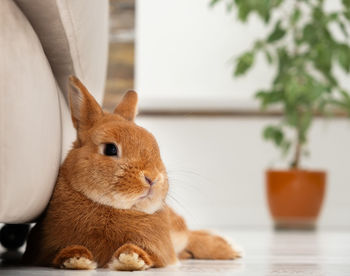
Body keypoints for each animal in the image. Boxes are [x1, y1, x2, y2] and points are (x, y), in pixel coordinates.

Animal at [21, 76, 241, 270]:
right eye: (110, 149)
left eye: (155, 146)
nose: (153, 178)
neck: (111, 207)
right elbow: (59, 255)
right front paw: (75, 258)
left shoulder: (161, 249)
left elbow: (150, 255)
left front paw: (131, 257)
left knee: (189, 235)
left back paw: (230, 248)